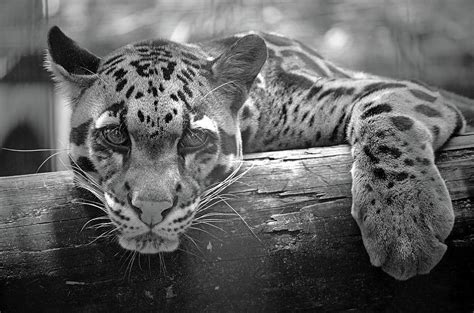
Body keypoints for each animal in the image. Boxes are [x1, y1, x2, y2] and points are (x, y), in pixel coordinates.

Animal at [46, 25, 468, 280]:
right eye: (116, 135)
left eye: (193, 139)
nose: (151, 209)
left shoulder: (397, 88)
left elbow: (387, 117)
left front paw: (404, 223)